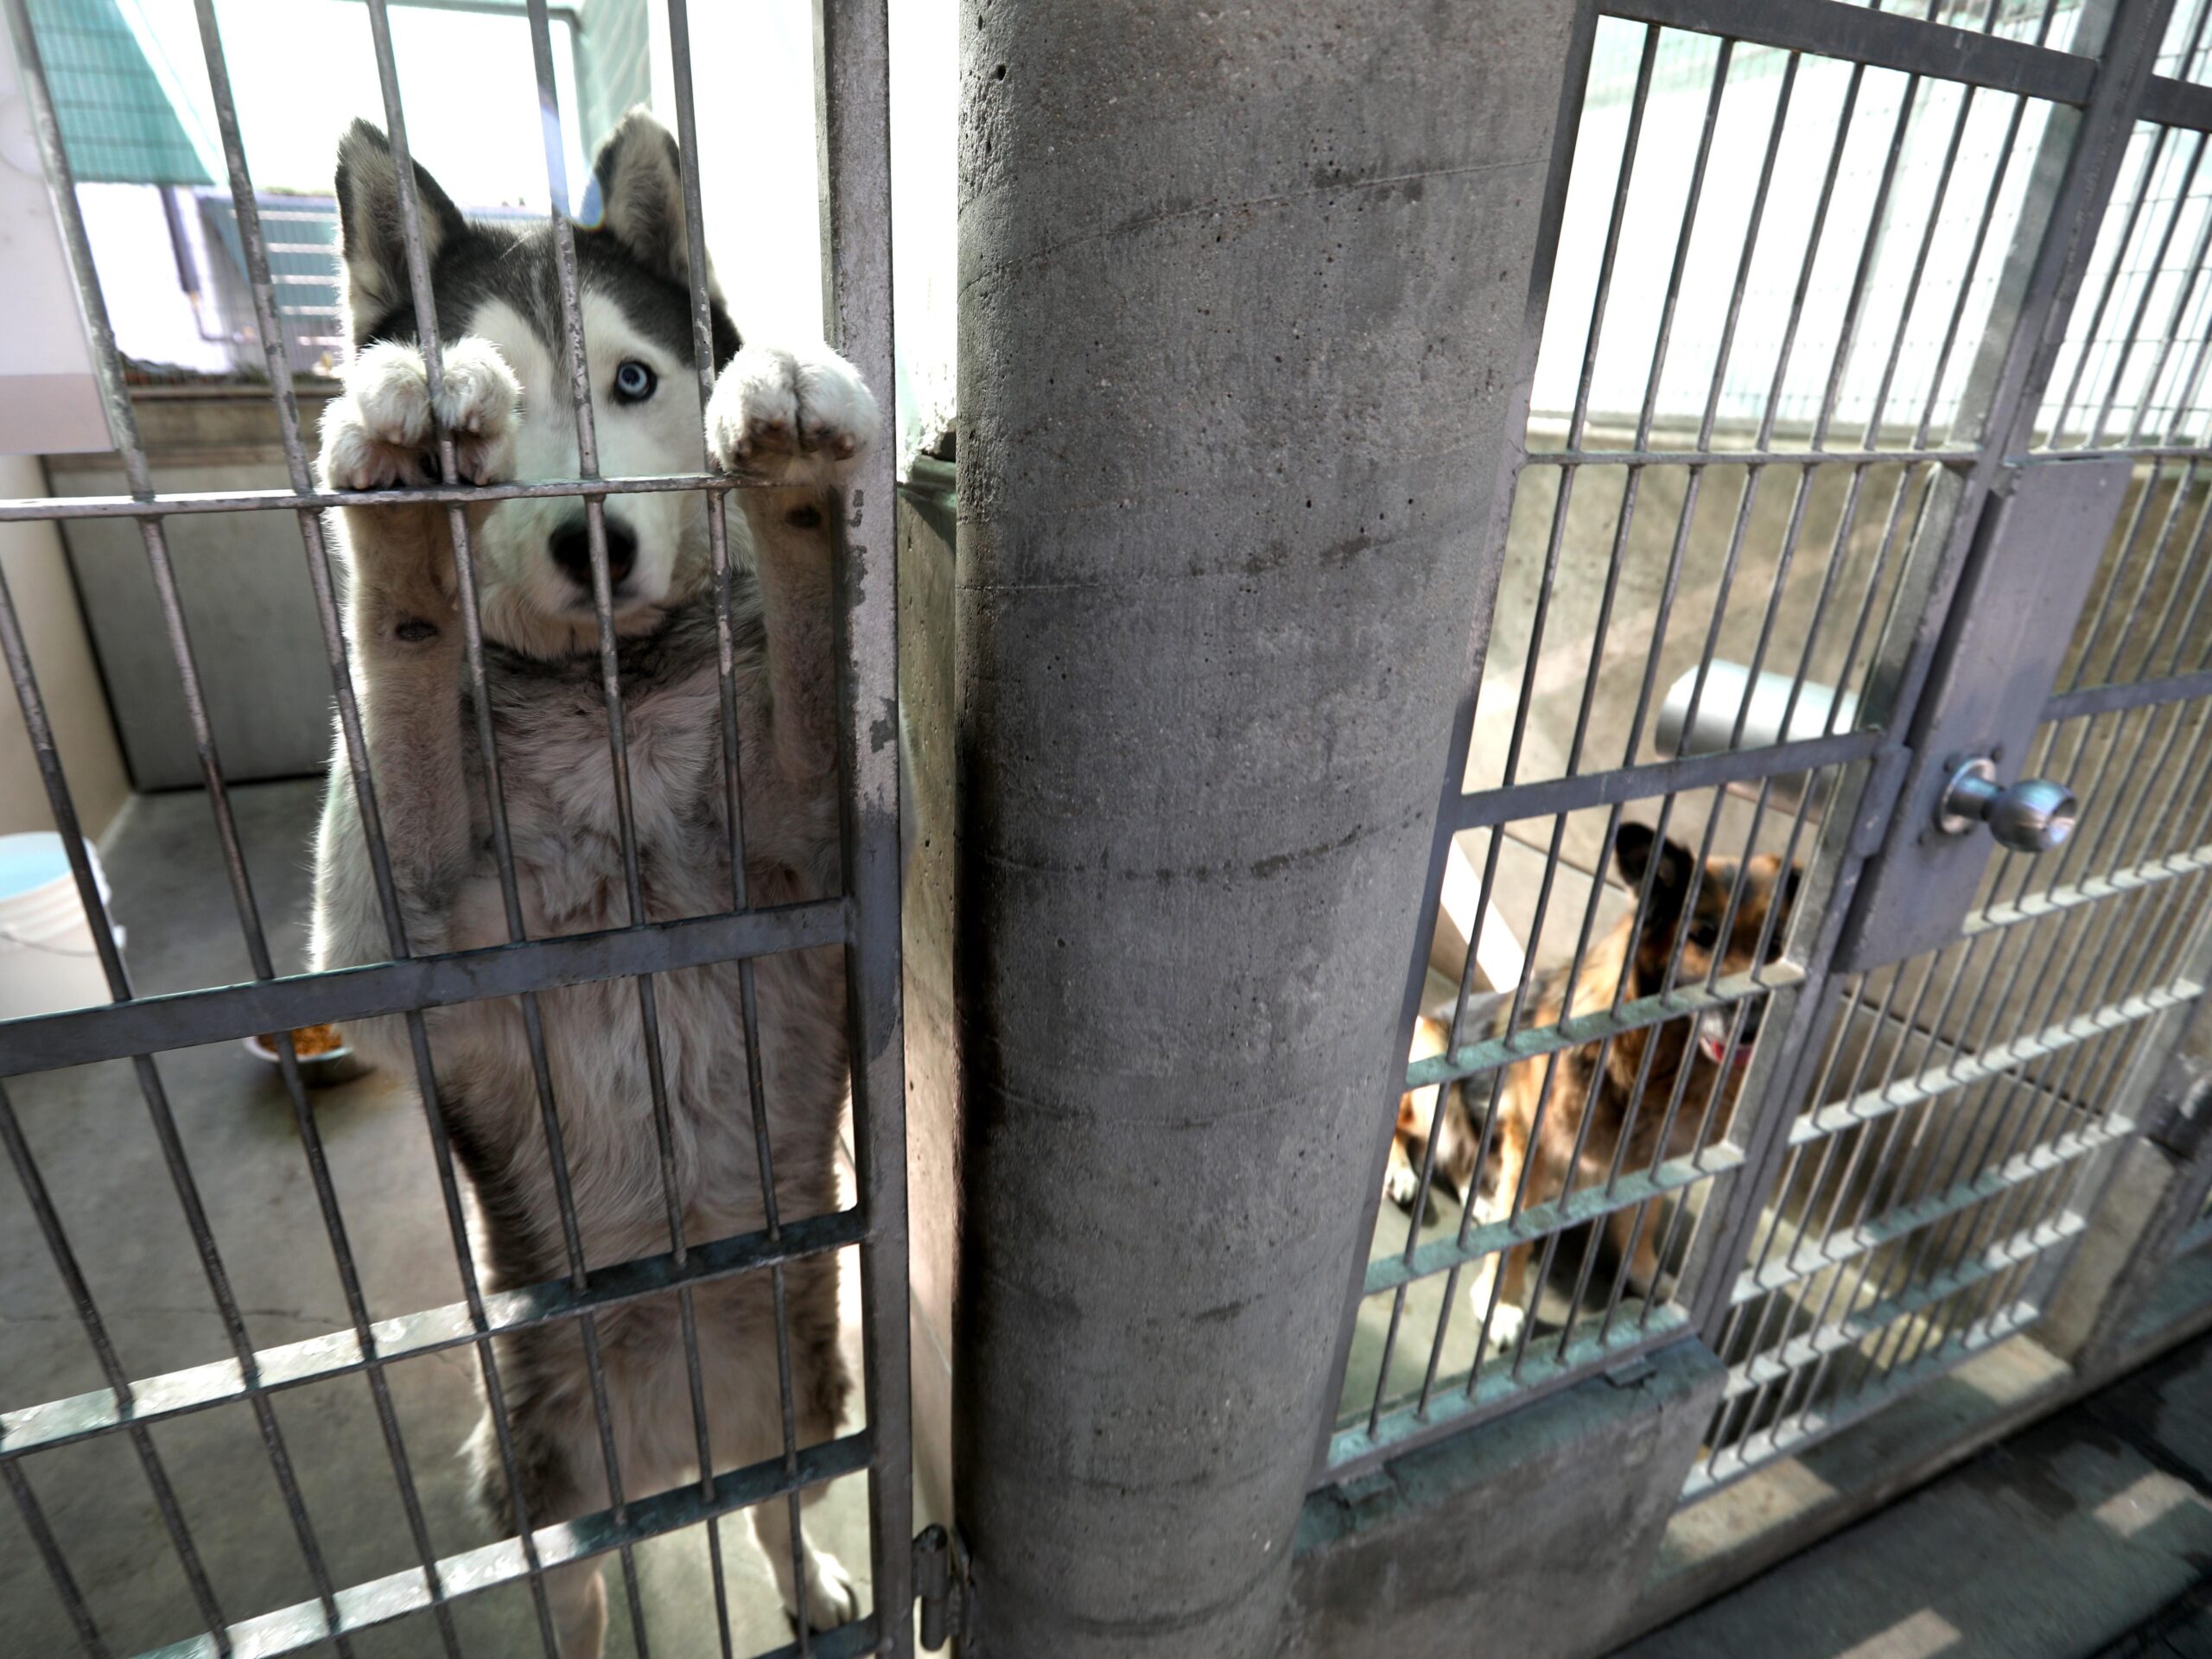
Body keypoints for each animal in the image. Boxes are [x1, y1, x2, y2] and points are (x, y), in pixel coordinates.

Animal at [314, 111, 880, 1654]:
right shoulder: (403, 951)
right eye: (509, 398)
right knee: (572, 1585)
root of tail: (674, 1447)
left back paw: (806, 1579)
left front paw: (791, 467)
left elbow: (806, 629)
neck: (606, 705)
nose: (597, 539)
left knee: (771, 1507)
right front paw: (405, 510)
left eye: (633, 380)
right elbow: (397, 655)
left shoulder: (807, 852)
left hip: (812, 1396)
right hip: (537, 1466)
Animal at [1380, 823, 1796, 1353]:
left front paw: (1646, 1277)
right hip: (1437, 1080)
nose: (1755, 1025)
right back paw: (1404, 1175)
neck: (1649, 1062)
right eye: (1704, 936)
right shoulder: (1532, 1139)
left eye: (1776, 946)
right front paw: (1501, 1304)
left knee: (1462, 1160)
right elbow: (1516, 1234)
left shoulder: (1651, 1158)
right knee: (1414, 1135)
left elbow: (1641, 1224)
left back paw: (1483, 1201)